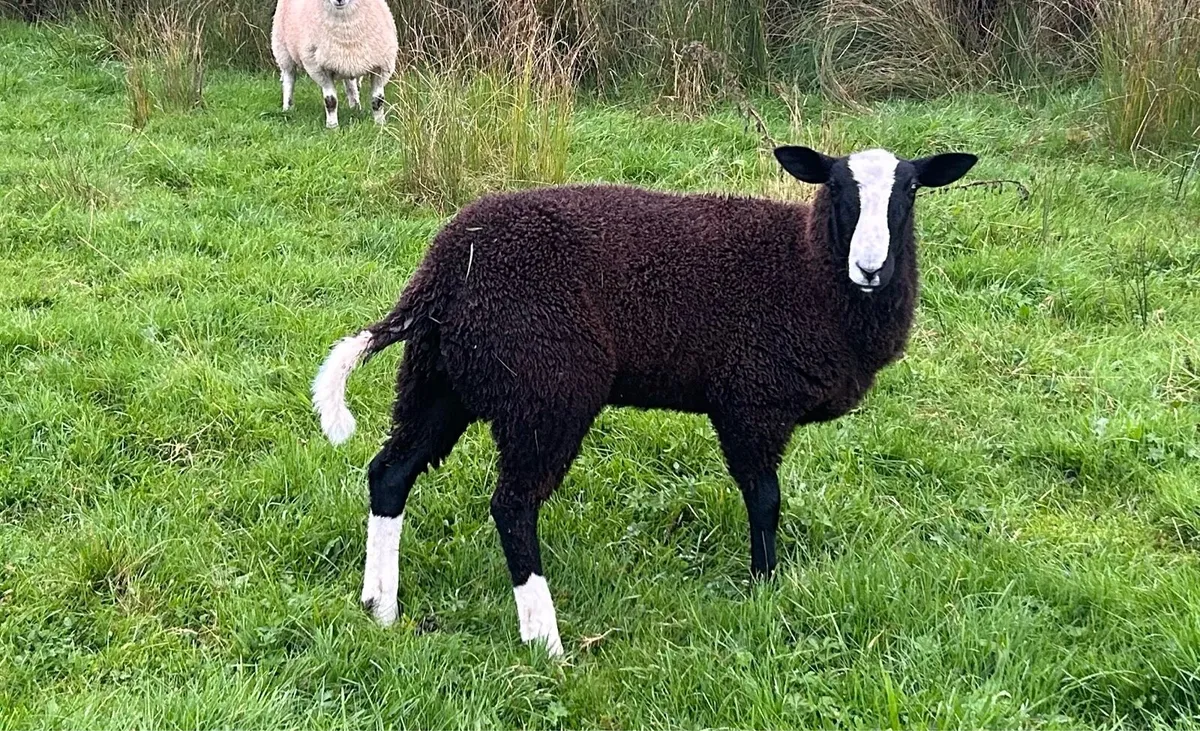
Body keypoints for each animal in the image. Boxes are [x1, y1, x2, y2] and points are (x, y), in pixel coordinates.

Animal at [271, 0, 398, 128]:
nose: (339, 0)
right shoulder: (320, 69)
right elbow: (330, 101)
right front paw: (333, 126)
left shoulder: (382, 66)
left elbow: (378, 100)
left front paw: (380, 124)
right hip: (282, 48)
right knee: (289, 79)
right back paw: (287, 108)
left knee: (351, 85)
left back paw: (355, 107)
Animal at [312, 145, 978, 656]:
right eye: (838, 187)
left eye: (910, 190)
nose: (871, 267)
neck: (808, 268)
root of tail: (443, 269)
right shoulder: (750, 400)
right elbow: (765, 499)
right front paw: (765, 588)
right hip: (546, 389)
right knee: (512, 505)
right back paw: (545, 641)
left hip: (442, 378)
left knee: (390, 473)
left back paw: (381, 607)